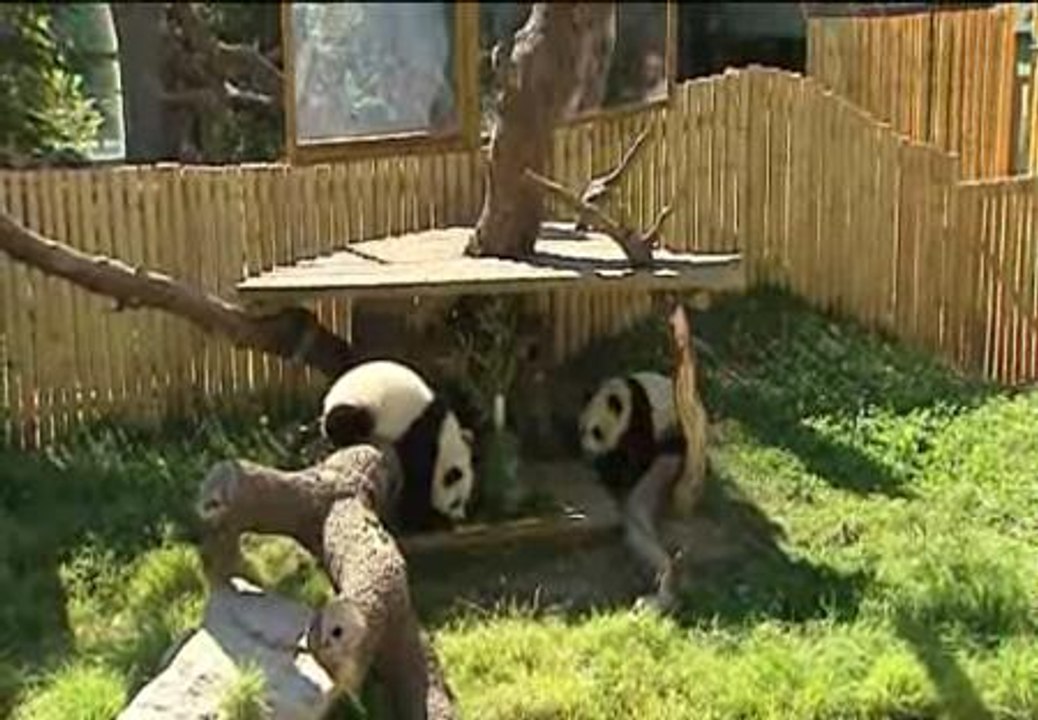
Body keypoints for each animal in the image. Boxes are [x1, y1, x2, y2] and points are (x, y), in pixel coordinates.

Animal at [320, 359, 476, 533]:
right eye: (455, 502)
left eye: (463, 502)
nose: (460, 517)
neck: (446, 439)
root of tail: (329, 399)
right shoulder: (420, 435)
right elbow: (417, 480)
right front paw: (426, 521)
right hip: (359, 406)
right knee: (347, 422)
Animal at [577, 371, 685, 501]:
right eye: (582, 429)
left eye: (597, 432)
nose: (587, 450)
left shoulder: (639, 416)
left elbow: (641, 451)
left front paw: (624, 479)